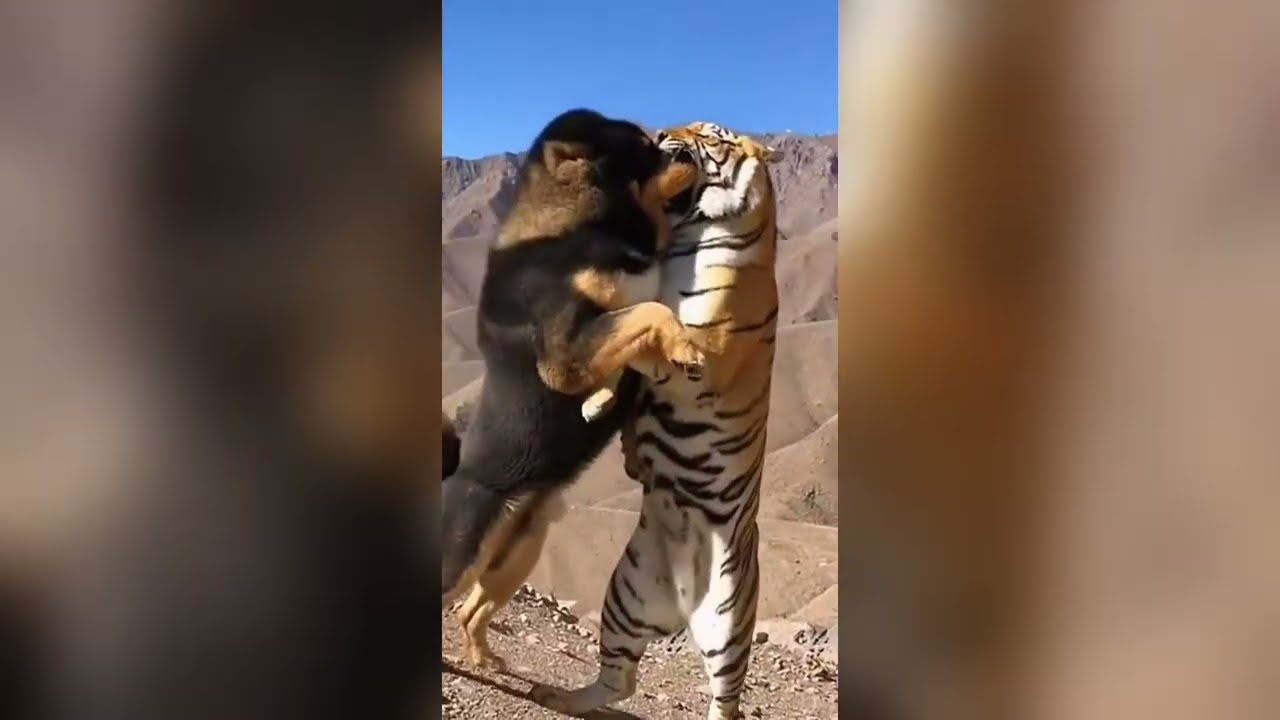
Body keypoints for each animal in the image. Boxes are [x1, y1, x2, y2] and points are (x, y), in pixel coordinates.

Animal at [533, 122, 782, 720]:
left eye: (710, 134)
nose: (663, 131)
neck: (685, 247)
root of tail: (682, 607)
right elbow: (628, 339)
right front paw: (598, 405)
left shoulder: (709, 350)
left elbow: (653, 326)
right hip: (624, 597)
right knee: (617, 683)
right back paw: (556, 695)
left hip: (729, 631)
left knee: (726, 704)